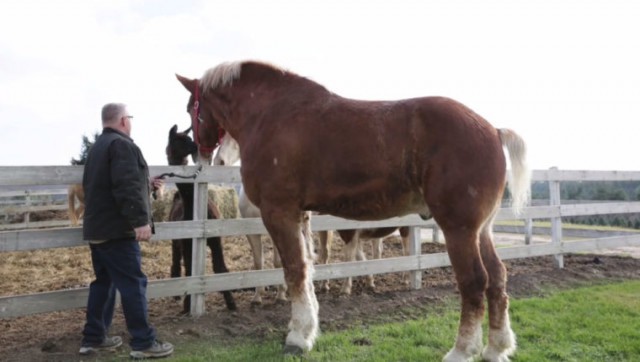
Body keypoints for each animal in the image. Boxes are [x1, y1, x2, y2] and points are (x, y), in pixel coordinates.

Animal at [175, 60, 528, 360]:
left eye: (191, 108)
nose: (207, 157)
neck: (271, 114)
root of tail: (493, 130)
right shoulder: (301, 215)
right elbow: (308, 269)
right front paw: (308, 330)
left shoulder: (279, 212)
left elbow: (294, 270)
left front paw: (297, 338)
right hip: (481, 231)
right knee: (497, 278)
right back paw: (496, 348)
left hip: (459, 229)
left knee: (474, 282)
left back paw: (462, 351)